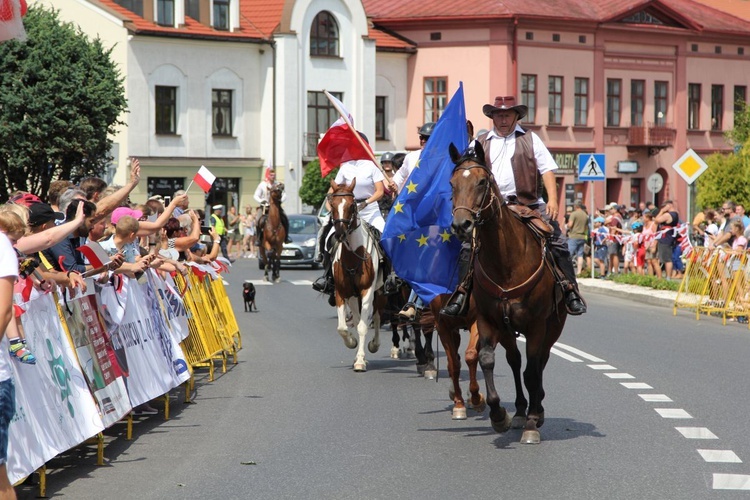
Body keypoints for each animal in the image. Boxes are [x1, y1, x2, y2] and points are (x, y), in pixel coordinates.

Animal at [328, 177, 388, 372]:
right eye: (332, 204)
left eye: (351, 205)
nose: (340, 234)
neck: (354, 255)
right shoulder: (341, 292)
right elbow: (342, 327)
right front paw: (352, 343)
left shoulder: (367, 291)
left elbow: (363, 326)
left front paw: (361, 360)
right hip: (354, 297)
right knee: (356, 316)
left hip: (379, 293)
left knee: (376, 316)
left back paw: (373, 345)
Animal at [450, 143, 568, 444]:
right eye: (452, 183)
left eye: (482, 182)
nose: (461, 225)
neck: (506, 262)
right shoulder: (488, 321)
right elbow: (487, 359)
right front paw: (499, 415)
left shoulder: (537, 325)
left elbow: (533, 369)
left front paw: (533, 422)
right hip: (507, 330)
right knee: (515, 361)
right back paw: (519, 411)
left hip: (554, 326)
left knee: (539, 363)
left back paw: (536, 410)